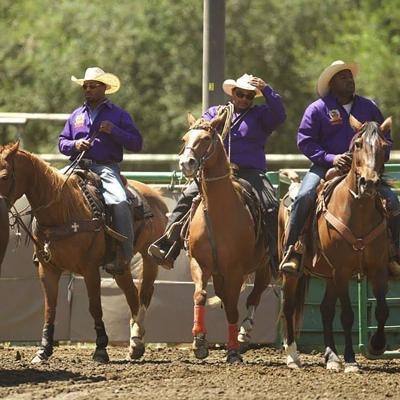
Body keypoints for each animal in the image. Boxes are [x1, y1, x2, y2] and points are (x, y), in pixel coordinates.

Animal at [0, 143, 167, 362]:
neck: (62, 210)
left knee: (145, 293)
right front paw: (43, 350)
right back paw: (134, 344)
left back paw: (137, 341)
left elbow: (95, 307)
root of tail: (158, 197)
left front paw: (101, 349)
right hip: (120, 268)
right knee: (132, 294)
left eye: (4, 176)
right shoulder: (47, 269)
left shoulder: (90, 269)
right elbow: (50, 308)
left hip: (149, 257)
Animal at [180, 114, 272, 364]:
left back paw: (243, 334)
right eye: (184, 139)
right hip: (220, 275)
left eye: (206, 138)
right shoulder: (200, 263)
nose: (186, 163)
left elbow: (232, 308)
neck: (217, 212)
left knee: (254, 297)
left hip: (264, 268)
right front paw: (199, 342)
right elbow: (200, 295)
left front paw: (232, 350)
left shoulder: (235, 270)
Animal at [280, 115, 392, 372]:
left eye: (384, 147)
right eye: (358, 144)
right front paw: (350, 360)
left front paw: (376, 345)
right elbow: (348, 316)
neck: (357, 212)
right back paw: (293, 356)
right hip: (294, 273)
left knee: (325, 309)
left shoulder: (377, 268)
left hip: (329, 275)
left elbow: (382, 310)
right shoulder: (342, 270)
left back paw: (331, 356)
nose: (369, 183)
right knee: (289, 305)